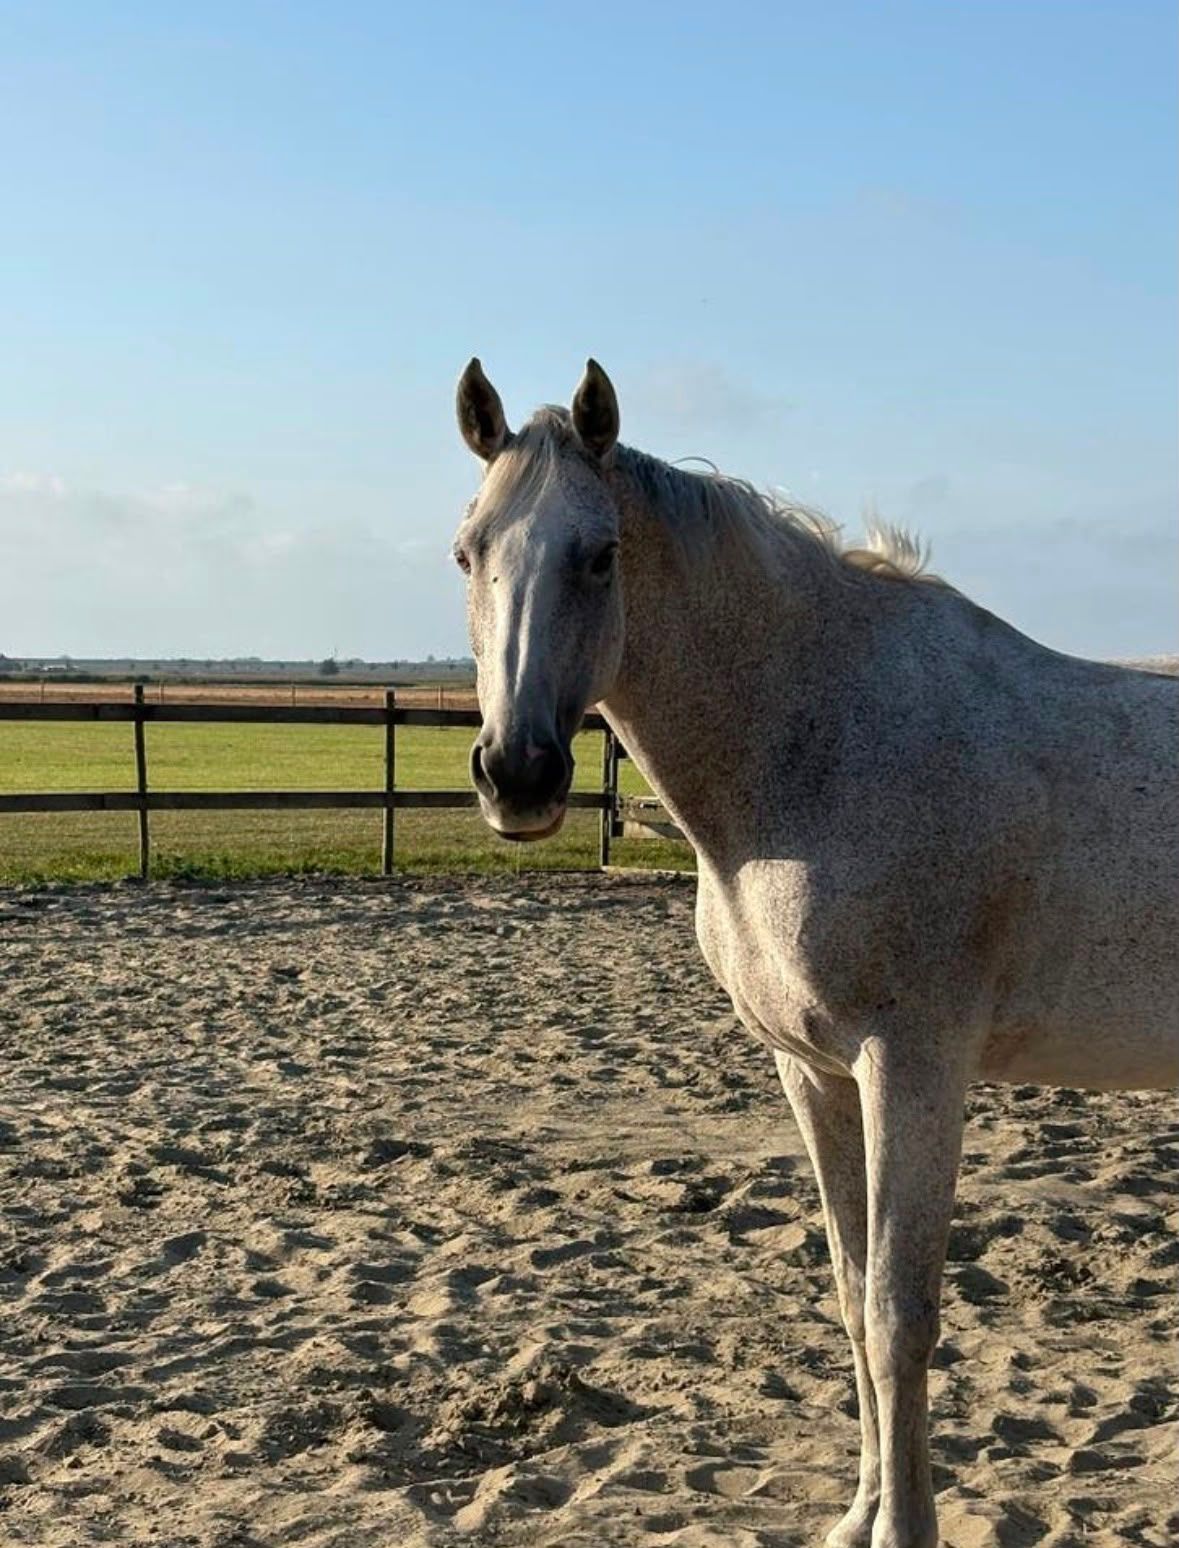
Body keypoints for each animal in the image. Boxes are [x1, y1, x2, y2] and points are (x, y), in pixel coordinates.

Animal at [450, 357, 1179, 1548]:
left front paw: (909, 1528)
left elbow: (897, 1314)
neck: (822, 742)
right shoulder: (815, 1072)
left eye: (599, 555)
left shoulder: (912, 1069)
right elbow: (847, 1296)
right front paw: (859, 1517)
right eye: (468, 550)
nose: (518, 775)